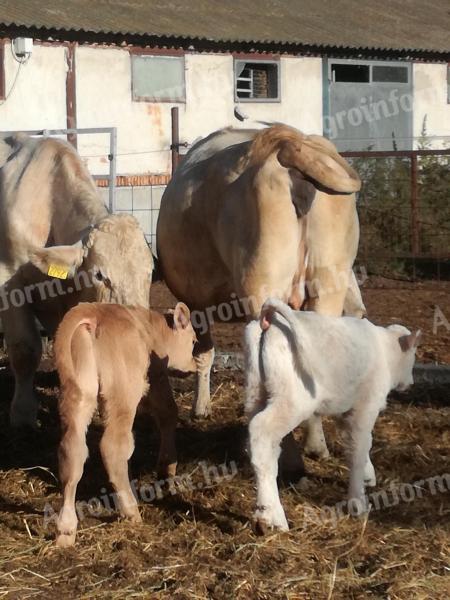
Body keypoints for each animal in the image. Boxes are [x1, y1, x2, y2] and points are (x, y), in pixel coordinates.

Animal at [53, 302, 197, 548]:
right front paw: (167, 468)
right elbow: (168, 412)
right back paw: (131, 511)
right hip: (124, 394)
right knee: (113, 447)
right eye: (194, 341)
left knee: (72, 451)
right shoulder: (156, 377)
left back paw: (66, 531)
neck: (154, 329)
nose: (194, 366)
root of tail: (91, 314)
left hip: (79, 394)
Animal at [244, 296, 420, 528]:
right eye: (413, 356)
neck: (385, 352)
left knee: (263, 446)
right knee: (261, 431)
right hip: (292, 399)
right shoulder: (366, 406)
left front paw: (368, 476)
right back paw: (271, 516)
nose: (411, 384)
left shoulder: (347, 410)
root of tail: (271, 322)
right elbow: (359, 448)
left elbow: (356, 444)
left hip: (256, 392)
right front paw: (358, 502)